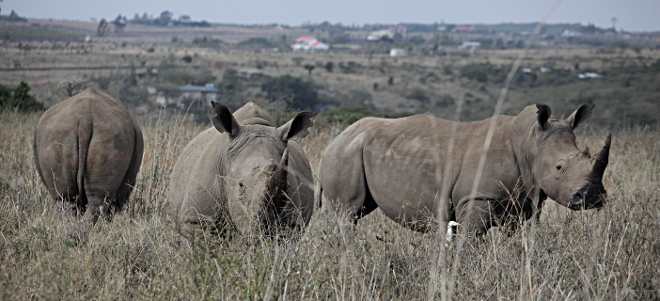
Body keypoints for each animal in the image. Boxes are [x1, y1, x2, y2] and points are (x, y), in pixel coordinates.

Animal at [318, 103, 612, 234]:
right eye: (559, 167)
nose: (592, 197)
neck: (530, 143)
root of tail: (336, 138)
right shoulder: (476, 198)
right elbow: (471, 240)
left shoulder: (521, 201)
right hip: (344, 154)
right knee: (347, 214)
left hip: (355, 150)